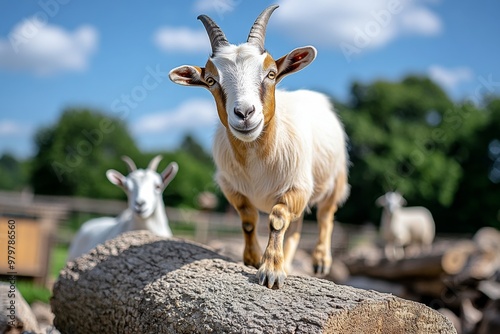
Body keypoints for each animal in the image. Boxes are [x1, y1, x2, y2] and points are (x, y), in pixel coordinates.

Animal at [168, 3, 348, 288]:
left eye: (271, 73)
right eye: (211, 81)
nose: (244, 113)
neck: (256, 159)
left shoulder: (296, 186)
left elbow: (277, 219)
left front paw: (271, 270)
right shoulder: (232, 188)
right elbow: (249, 219)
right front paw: (253, 259)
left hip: (336, 178)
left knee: (325, 215)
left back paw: (320, 261)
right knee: (297, 227)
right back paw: (289, 261)